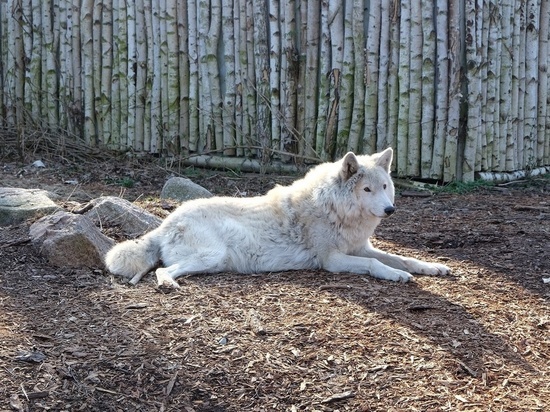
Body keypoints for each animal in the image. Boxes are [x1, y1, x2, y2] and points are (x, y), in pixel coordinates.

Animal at [105, 148, 450, 286]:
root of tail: (165, 223)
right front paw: (397, 276)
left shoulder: (360, 247)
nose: (390, 210)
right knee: (162, 271)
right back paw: (169, 285)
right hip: (212, 255)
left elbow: (402, 257)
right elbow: (375, 265)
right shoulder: (333, 260)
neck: (336, 210)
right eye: (366, 189)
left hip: (213, 261)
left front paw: (432, 267)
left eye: (385, 187)